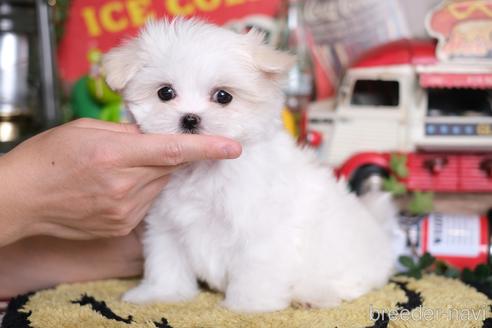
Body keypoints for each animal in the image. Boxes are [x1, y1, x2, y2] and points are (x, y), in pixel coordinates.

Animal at [104, 18, 396, 312]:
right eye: (165, 92)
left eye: (223, 96)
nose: (190, 118)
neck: (203, 169)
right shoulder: (167, 225)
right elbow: (166, 262)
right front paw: (160, 294)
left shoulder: (260, 228)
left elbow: (256, 267)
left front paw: (248, 305)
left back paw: (312, 295)